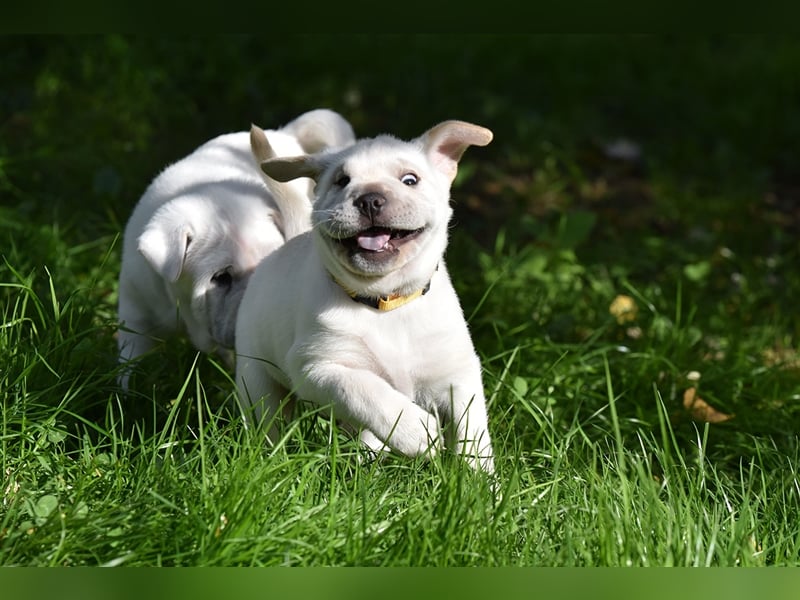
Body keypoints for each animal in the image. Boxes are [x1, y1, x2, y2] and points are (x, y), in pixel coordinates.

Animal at [234, 118, 494, 474]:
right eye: (342, 181)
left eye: (410, 180)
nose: (370, 199)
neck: (386, 303)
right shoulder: (316, 367)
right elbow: (363, 390)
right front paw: (416, 431)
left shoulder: (458, 374)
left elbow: (473, 432)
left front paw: (479, 482)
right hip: (255, 378)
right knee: (268, 421)